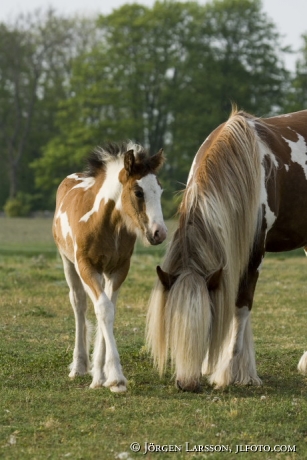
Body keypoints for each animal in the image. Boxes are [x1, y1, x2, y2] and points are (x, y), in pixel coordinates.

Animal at [54, 141, 167, 392]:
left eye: (161, 190)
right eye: (138, 192)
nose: (159, 233)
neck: (106, 223)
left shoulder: (118, 270)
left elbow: (109, 310)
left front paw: (104, 375)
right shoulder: (87, 266)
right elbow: (103, 309)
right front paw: (114, 377)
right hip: (68, 262)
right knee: (79, 304)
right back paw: (79, 366)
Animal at [146, 108, 307, 392]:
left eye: (208, 327)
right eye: (172, 324)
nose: (187, 384)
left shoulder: (254, 253)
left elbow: (241, 307)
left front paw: (229, 371)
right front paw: (238, 369)